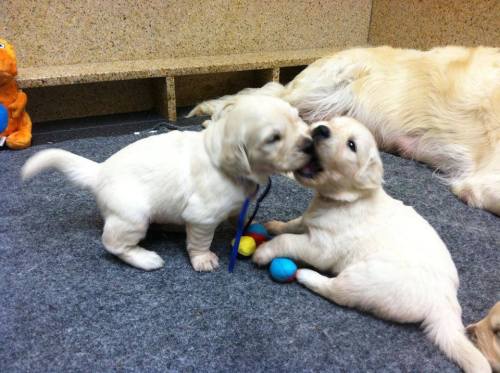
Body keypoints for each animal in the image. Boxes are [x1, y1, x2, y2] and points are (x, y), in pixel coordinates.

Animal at [24, 95, 312, 270]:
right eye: (273, 138)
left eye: (299, 117)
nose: (310, 142)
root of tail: (100, 170)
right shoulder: (201, 216)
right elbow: (200, 241)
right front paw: (203, 260)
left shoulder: (235, 203)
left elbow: (235, 215)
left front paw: (242, 225)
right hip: (132, 216)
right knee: (112, 243)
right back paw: (146, 258)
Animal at [252, 117, 490, 372]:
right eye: (332, 122)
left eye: (352, 145)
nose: (321, 129)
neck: (346, 200)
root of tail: (445, 302)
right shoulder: (309, 221)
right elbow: (293, 225)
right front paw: (274, 225)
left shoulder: (321, 247)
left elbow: (288, 240)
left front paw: (264, 251)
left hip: (366, 279)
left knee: (338, 292)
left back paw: (306, 276)